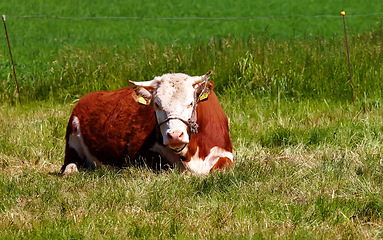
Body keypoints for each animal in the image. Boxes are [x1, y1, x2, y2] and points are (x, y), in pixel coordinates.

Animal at [61, 71, 232, 174]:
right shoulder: (139, 156)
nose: (175, 135)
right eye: (157, 104)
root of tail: (85, 98)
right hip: (72, 139)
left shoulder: (225, 153)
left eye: (191, 103)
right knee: (69, 165)